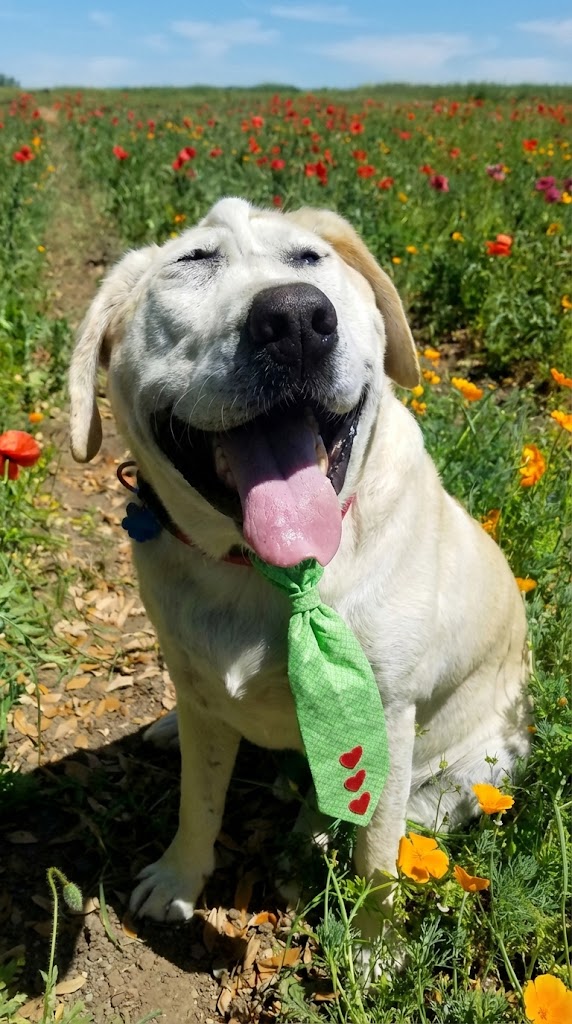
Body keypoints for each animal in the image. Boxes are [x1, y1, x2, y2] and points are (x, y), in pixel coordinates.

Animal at [69, 197, 530, 931]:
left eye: (310, 258)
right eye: (193, 262)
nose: (294, 319)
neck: (271, 573)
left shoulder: (388, 720)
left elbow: (376, 855)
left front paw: (374, 942)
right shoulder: (203, 696)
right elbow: (198, 804)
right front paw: (178, 879)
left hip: (479, 769)